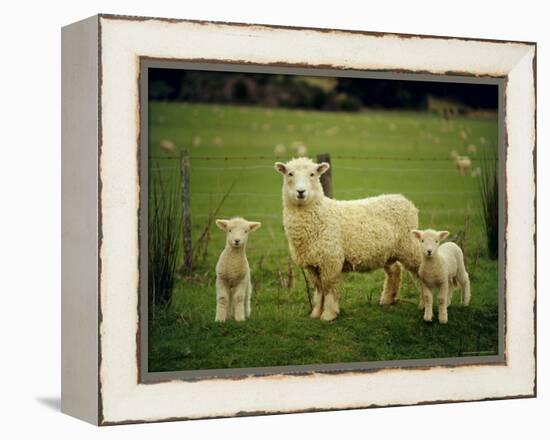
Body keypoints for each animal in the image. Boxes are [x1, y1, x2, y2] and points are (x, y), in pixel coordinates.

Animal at [276, 157, 422, 320]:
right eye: (290, 174)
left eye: (312, 174)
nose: (301, 192)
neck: (320, 214)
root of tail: (403, 198)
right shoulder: (311, 263)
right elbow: (319, 288)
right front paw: (316, 313)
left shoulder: (331, 259)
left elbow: (328, 287)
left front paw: (329, 314)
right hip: (387, 251)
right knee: (395, 270)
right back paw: (387, 299)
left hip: (409, 245)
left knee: (421, 271)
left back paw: (425, 304)